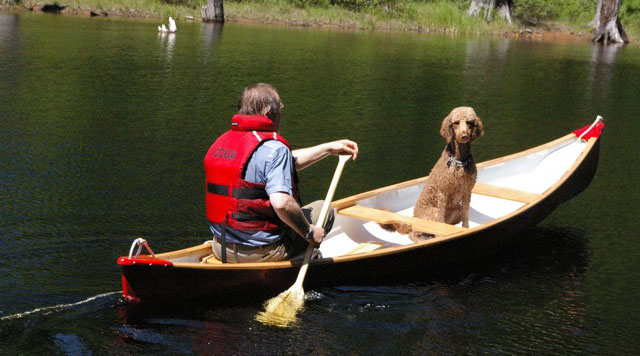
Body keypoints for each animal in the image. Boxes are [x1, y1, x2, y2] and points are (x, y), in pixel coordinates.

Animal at [382, 106, 482, 242]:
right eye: (456, 122)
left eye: (470, 123)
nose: (464, 136)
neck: (459, 162)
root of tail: (413, 218)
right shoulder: (442, 193)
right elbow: (439, 224)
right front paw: (440, 236)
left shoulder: (467, 191)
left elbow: (466, 217)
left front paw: (466, 229)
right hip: (432, 213)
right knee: (414, 233)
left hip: (457, 211)